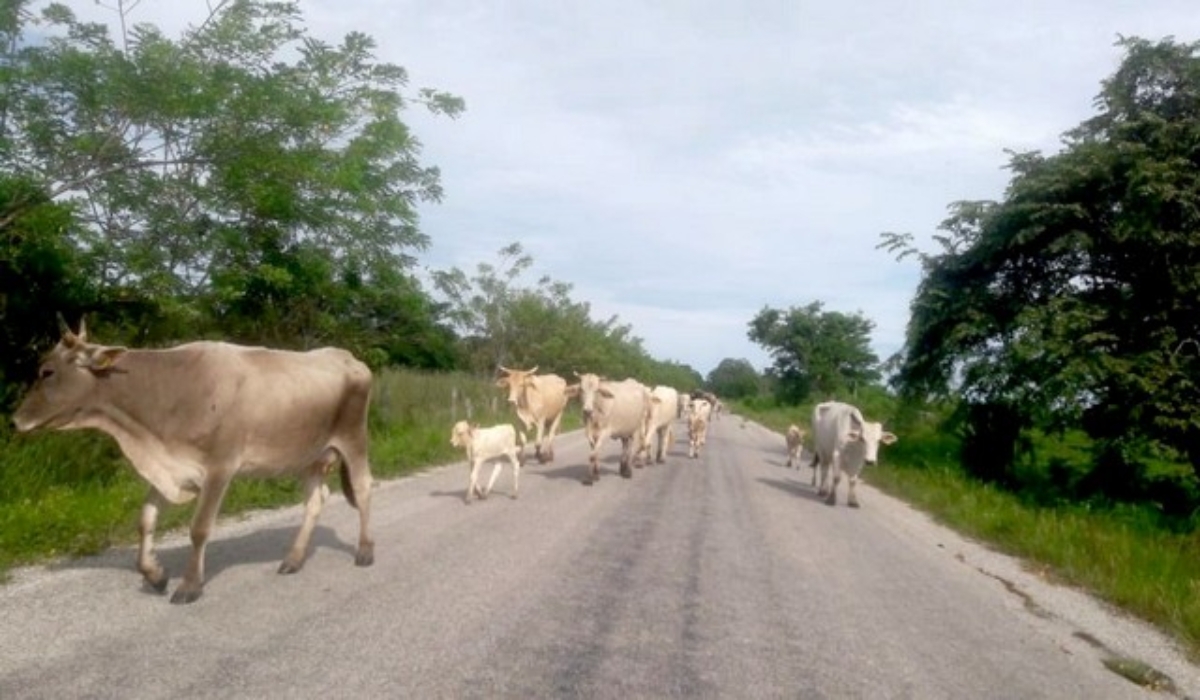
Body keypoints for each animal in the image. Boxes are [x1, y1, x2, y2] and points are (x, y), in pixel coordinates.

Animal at [10, 319, 374, 605]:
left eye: (47, 371)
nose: (14, 421)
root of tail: (346, 356)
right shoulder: (170, 466)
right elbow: (146, 520)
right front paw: (154, 574)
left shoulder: (219, 467)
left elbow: (199, 528)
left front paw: (189, 586)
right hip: (309, 457)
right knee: (316, 500)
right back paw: (293, 559)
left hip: (353, 439)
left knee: (363, 489)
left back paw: (364, 552)